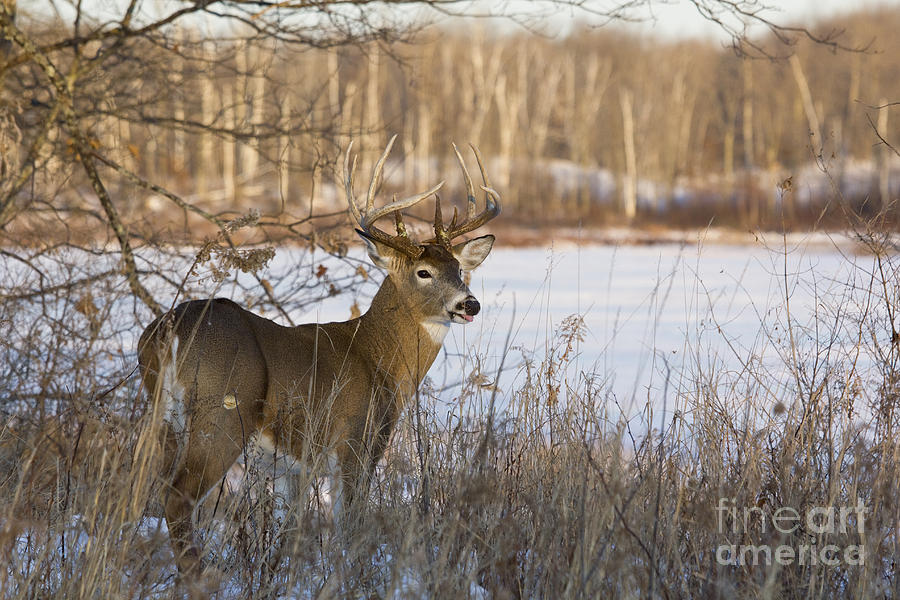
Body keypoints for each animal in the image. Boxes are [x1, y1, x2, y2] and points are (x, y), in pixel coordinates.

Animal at [136, 137, 500, 576]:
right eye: (424, 272)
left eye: (459, 270)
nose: (470, 304)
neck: (379, 359)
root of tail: (167, 331)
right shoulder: (357, 440)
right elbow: (349, 523)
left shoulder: (290, 463)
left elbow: (284, 530)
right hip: (221, 414)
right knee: (177, 498)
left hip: (164, 417)